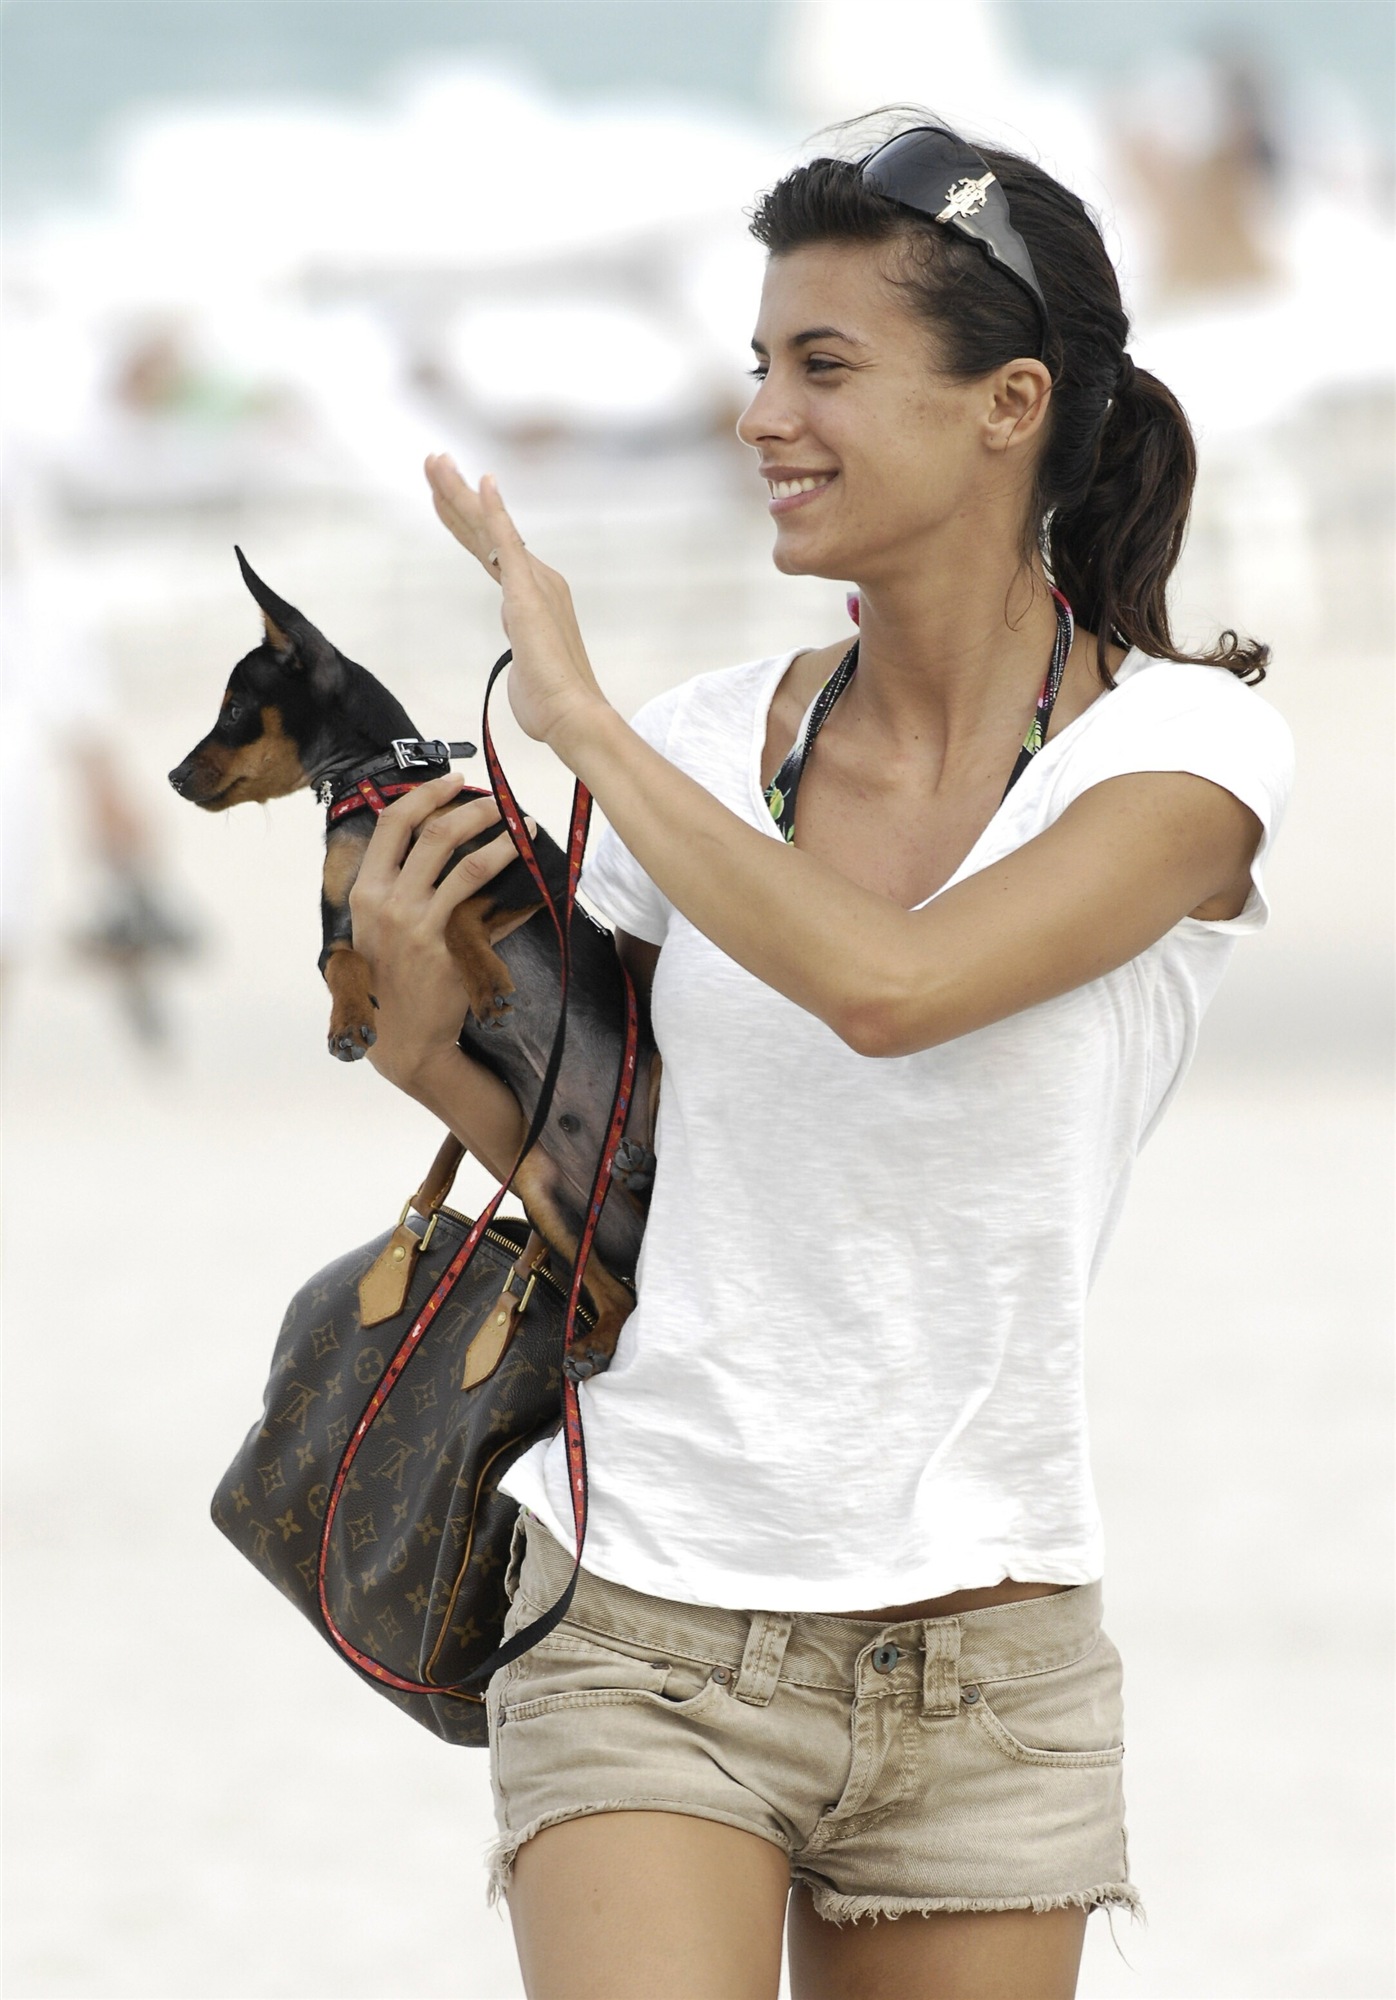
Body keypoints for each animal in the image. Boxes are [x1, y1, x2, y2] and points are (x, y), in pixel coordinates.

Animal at [169, 552, 656, 1376]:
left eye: (234, 710)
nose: (172, 777)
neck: (375, 791)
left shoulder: (532, 880)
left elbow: (458, 914)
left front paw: (489, 985)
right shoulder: (338, 930)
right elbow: (344, 967)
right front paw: (347, 1025)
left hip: (629, 1056)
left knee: (650, 1063)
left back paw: (641, 1147)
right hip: (542, 1190)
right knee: (616, 1297)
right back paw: (593, 1340)